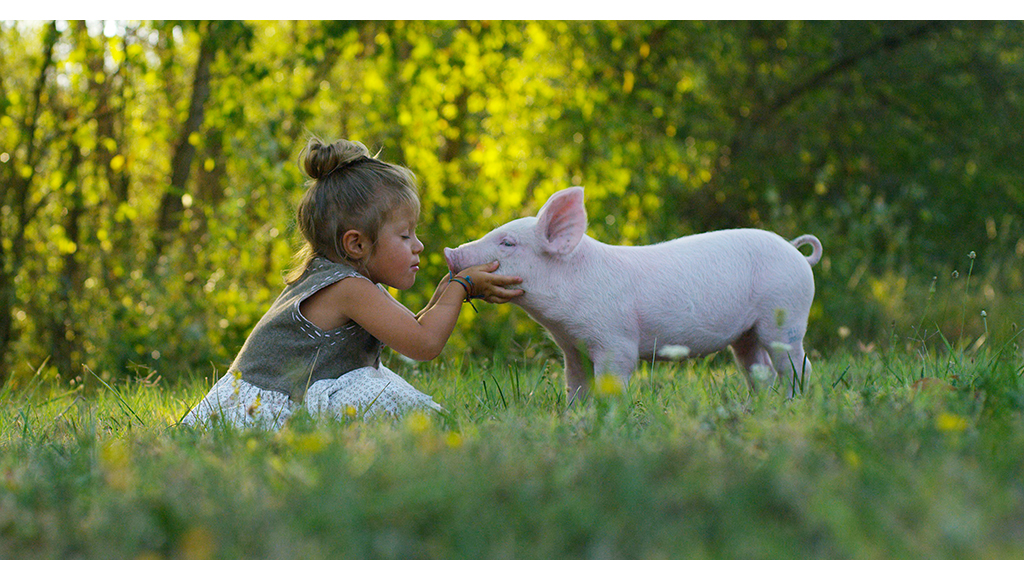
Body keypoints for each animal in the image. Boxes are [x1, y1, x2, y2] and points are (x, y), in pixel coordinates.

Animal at [444, 186, 822, 400]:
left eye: (508, 243)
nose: (450, 252)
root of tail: (795, 251)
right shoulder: (573, 349)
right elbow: (575, 387)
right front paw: (575, 419)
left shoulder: (616, 340)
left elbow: (613, 380)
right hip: (746, 335)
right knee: (759, 370)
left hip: (785, 315)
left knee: (796, 366)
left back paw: (794, 404)